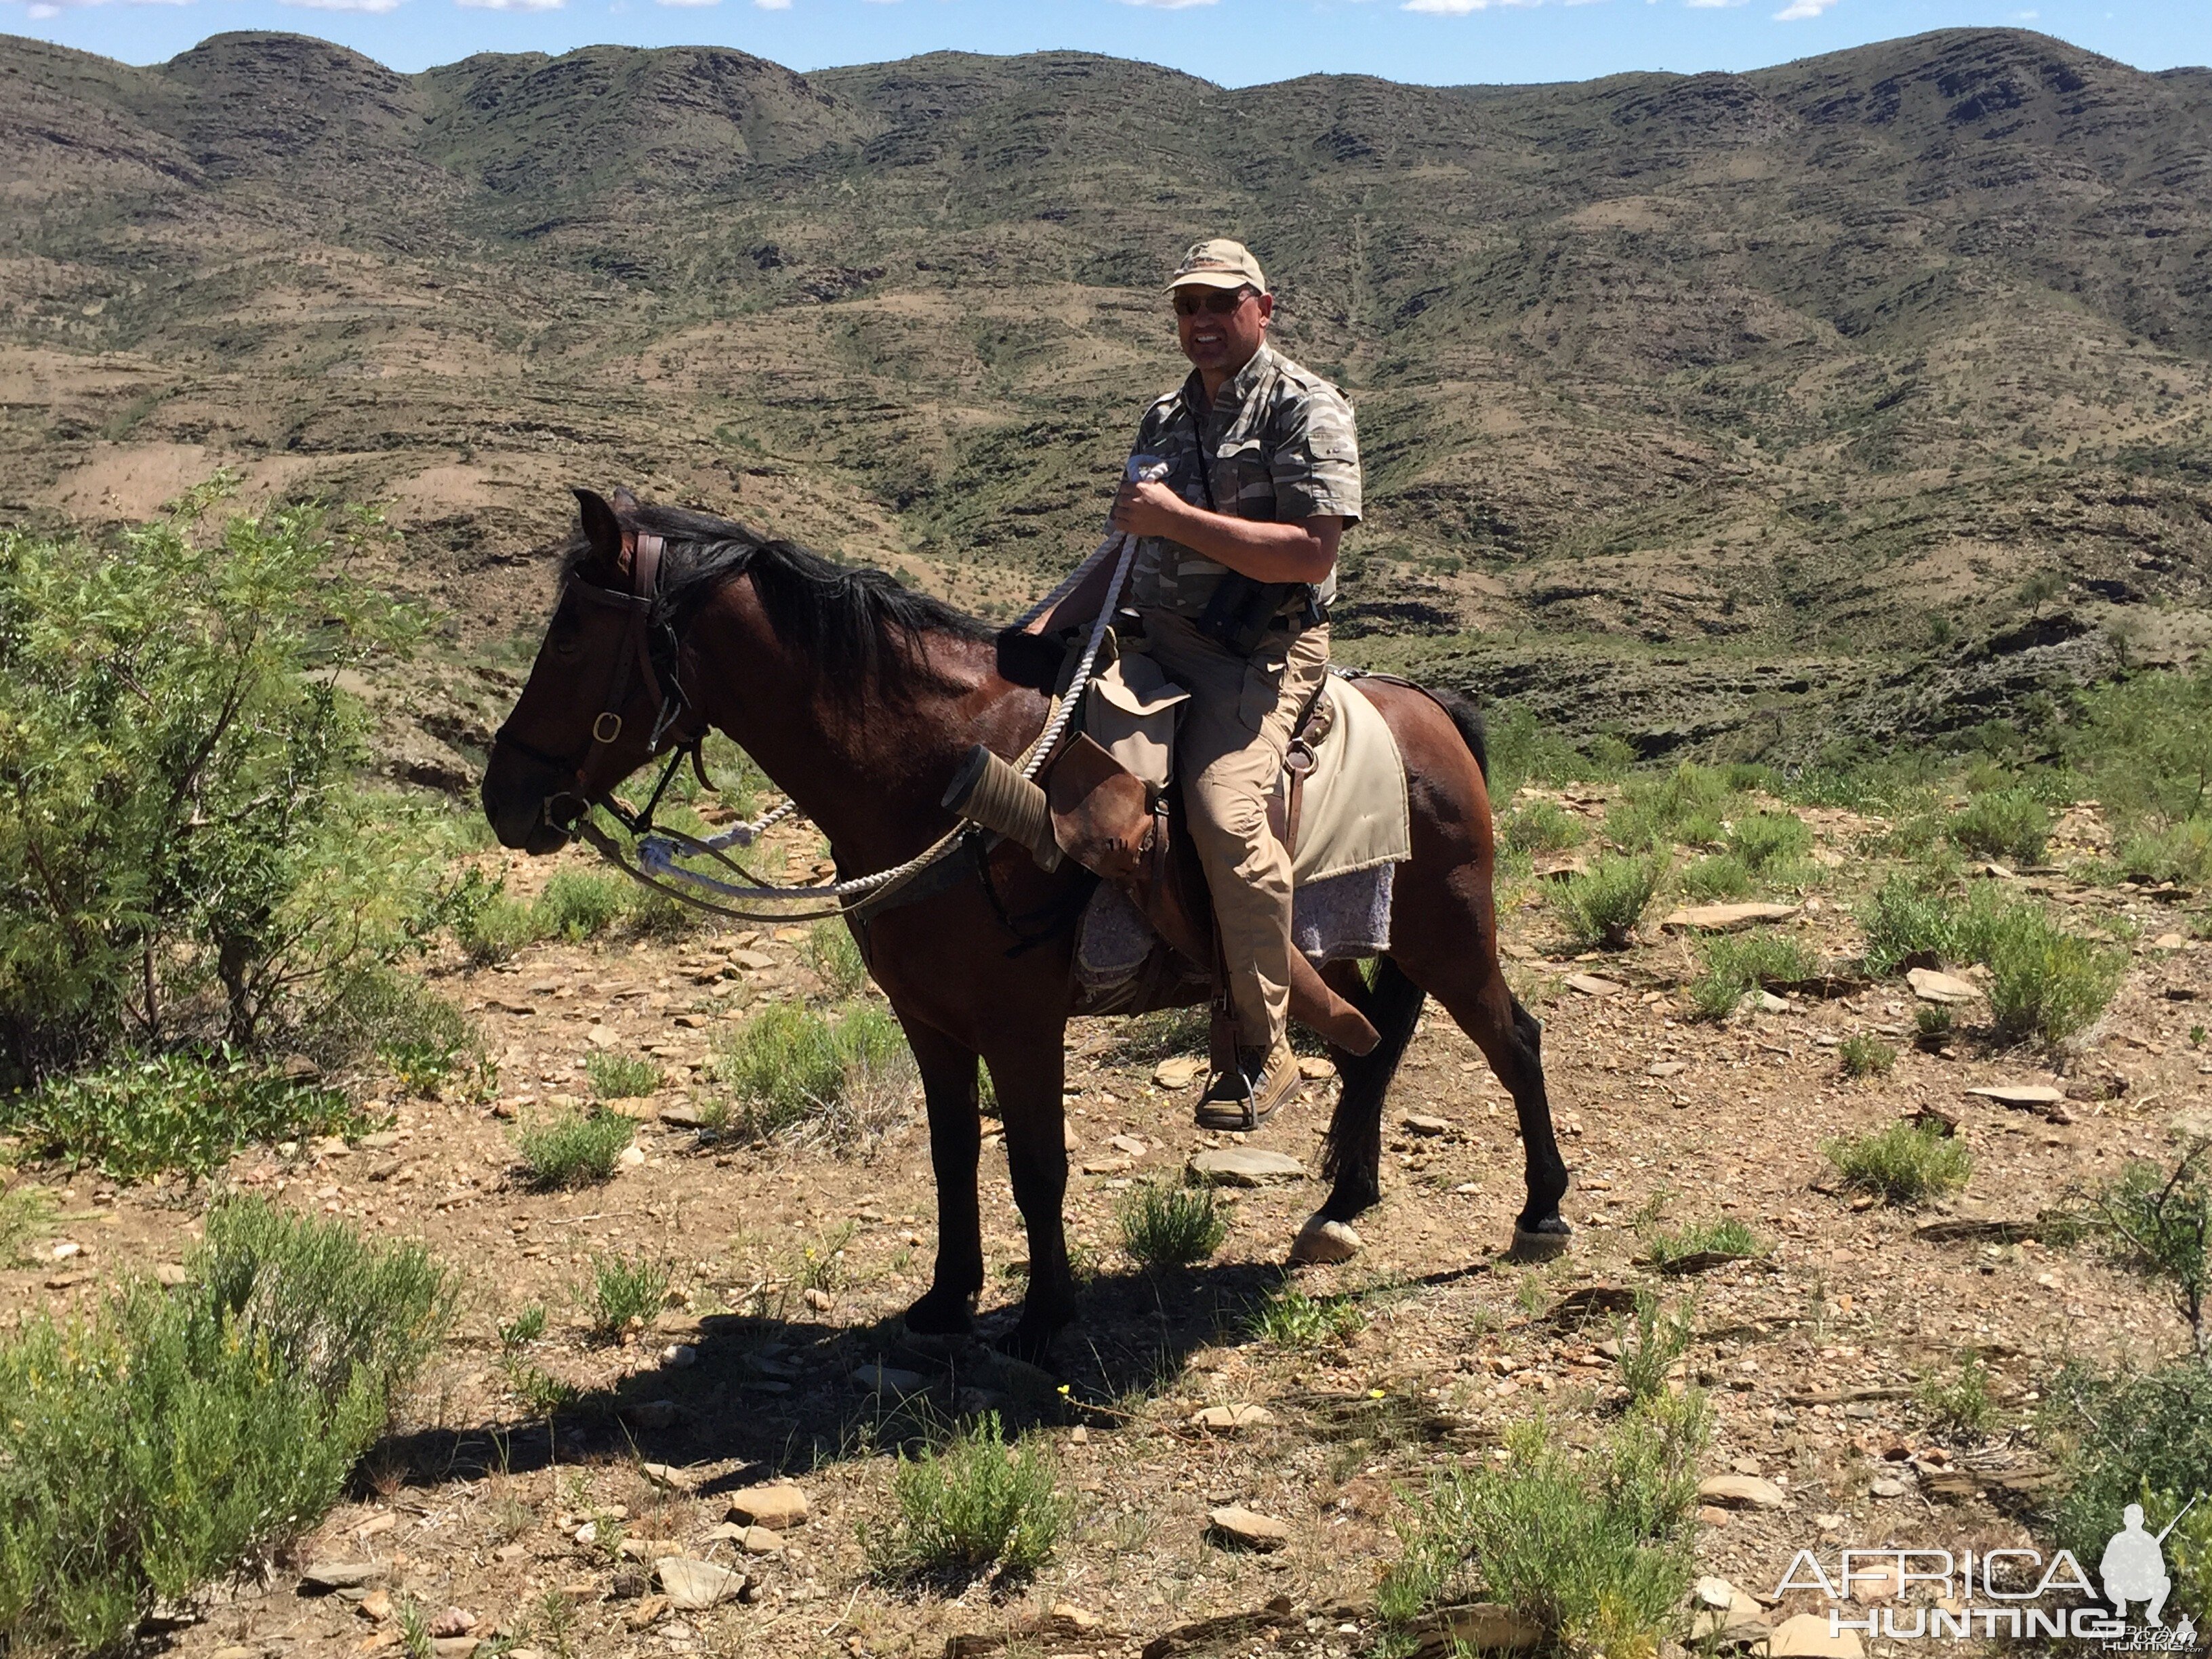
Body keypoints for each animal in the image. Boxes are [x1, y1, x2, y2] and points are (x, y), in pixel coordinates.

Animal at [480, 491, 1574, 1362]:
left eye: (570, 635)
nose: (505, 798)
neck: (934, 765)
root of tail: (1432, 708)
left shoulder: (1020, 1022)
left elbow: (1036, 1166)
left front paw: (1045, 1316)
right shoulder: (928, 1019)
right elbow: (953, 1153)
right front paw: (946, 1300)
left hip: (1449, 930)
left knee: (1513, 1040)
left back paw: (1542, 1211)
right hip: (1327, 946)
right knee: (1369, 1045)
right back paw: (1343, 1203)